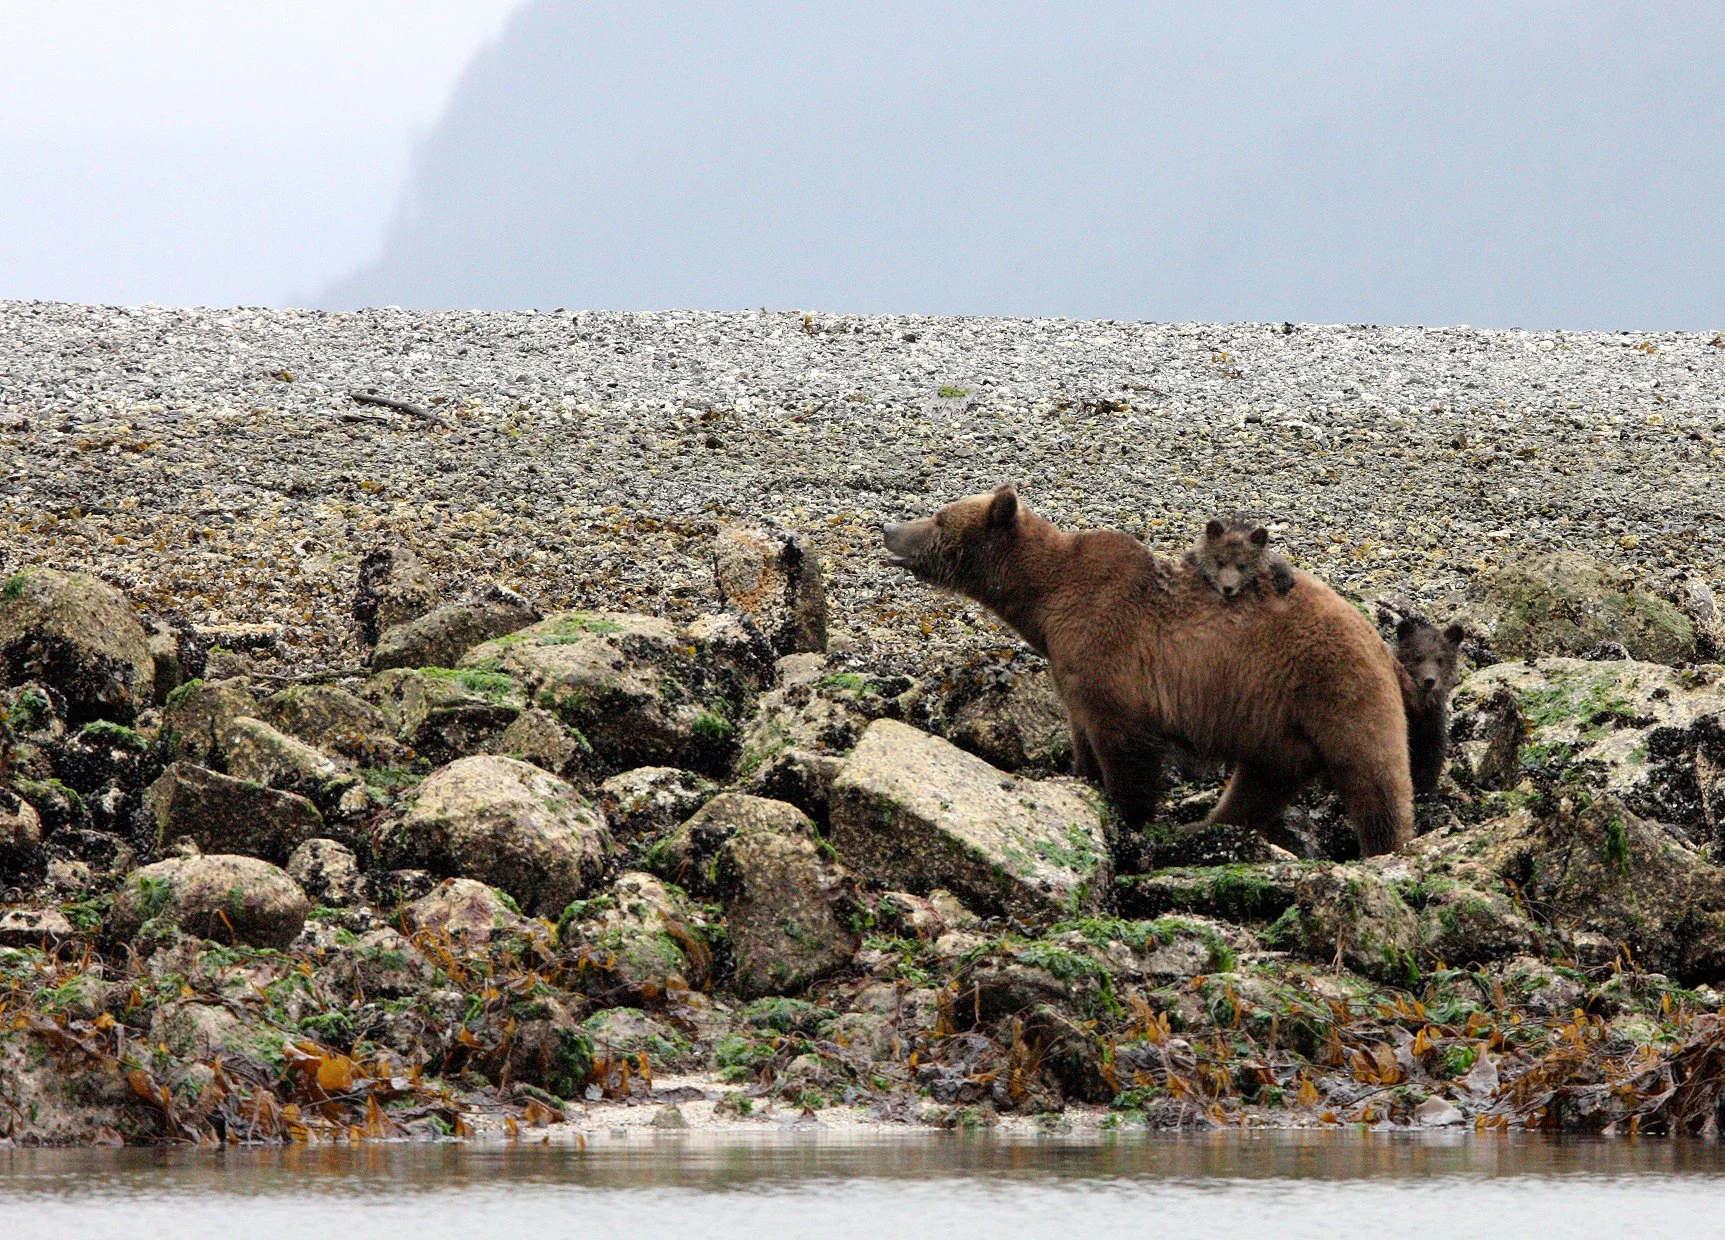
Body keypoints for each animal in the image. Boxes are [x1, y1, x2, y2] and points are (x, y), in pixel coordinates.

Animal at [882, 484, 1413, 856]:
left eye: (938, 516)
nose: (889, 529)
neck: (1047, 601)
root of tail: (1377, 637)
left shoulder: (1110, 647)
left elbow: (1124, 746)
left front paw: (1128, 817)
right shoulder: (1068, 667)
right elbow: (1083, 734)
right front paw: (1086, 782)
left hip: (1332, 686)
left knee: (1373, 776)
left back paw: (1383, 847)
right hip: (1276, 720)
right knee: (1263, 779)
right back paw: (1205, 825)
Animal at [1393, 616, 1465, 796]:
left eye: (1440, 659)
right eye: (1418, 657)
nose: (1429, 680)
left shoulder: (1432, 722)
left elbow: (1432, 755)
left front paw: (1426, 790)